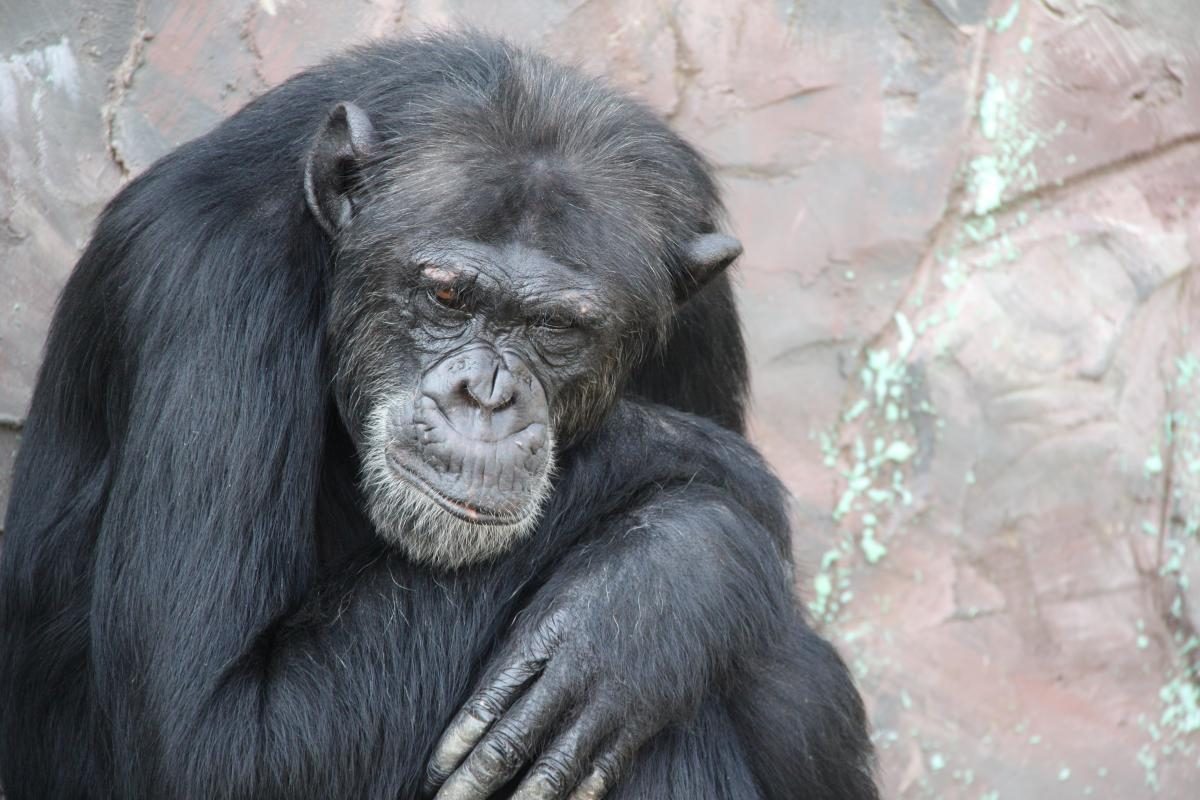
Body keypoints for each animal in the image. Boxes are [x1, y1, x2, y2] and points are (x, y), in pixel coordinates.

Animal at [2, 31, 883, 800]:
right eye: (448, 295)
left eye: (556, 329)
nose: (486, 395)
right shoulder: (210, 283)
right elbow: (217, 736)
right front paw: (663, 574)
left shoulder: (702, 313)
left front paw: (646, 606)